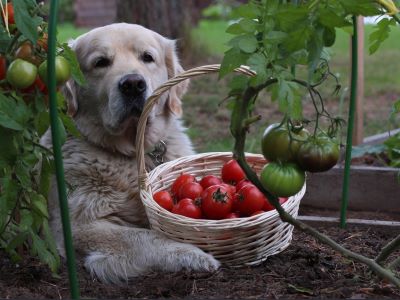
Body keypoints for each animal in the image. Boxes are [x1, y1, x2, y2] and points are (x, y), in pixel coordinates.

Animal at [40, 23, 219, 284]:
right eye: (101, 62)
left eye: (147, 57)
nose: (133, 84)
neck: (132, 152)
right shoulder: (78, 225)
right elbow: (147, 236)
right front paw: (193, 254)